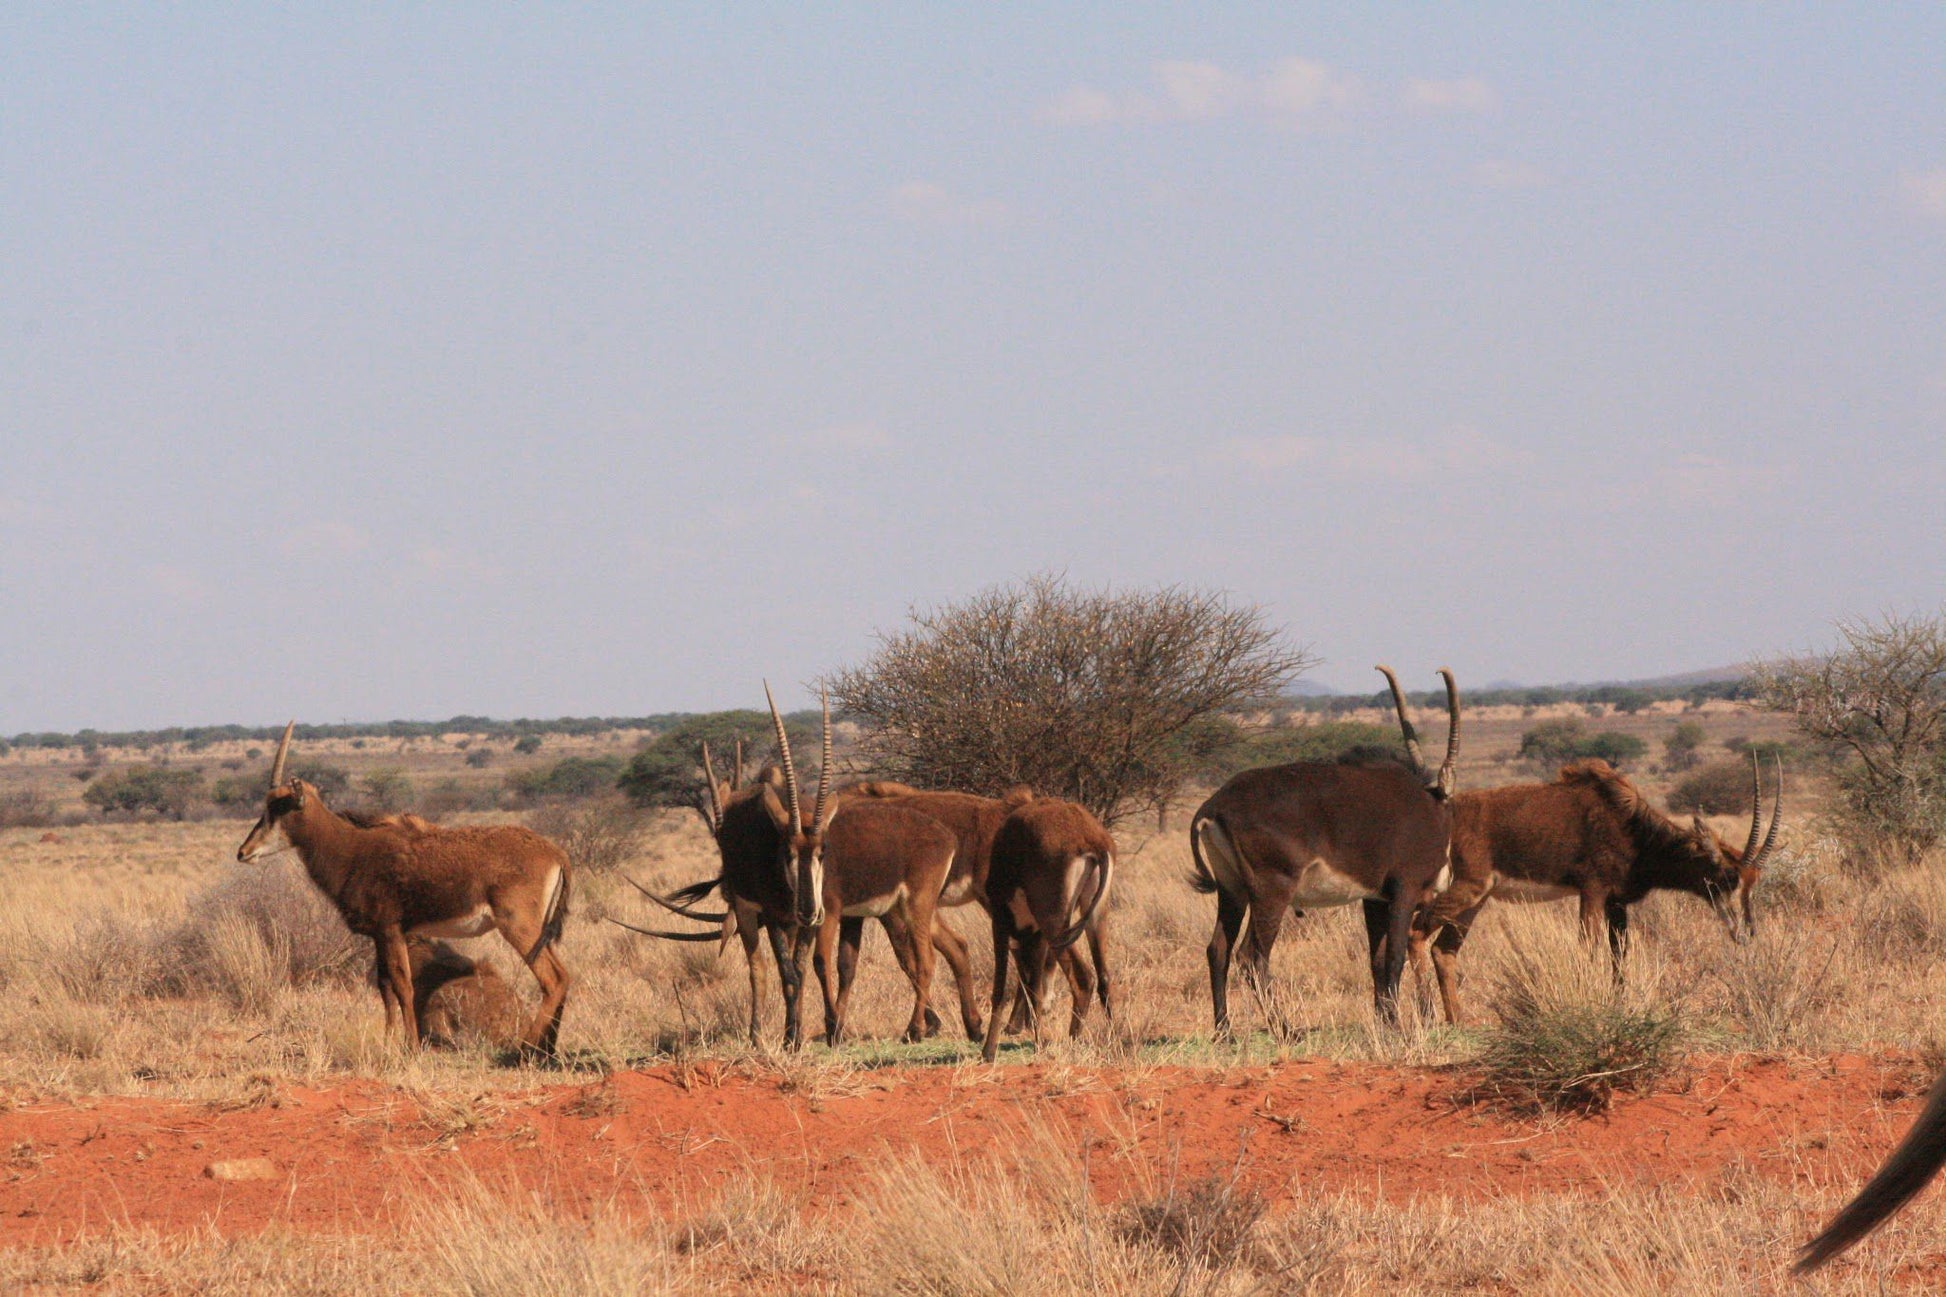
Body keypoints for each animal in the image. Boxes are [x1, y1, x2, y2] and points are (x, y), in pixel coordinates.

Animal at [232, 720, 572, 1059]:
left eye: (278, 810)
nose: (243, 852)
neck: (351, 849)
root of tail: (555, 852)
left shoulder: (390, 930)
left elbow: (402, 985)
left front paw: (410, 1047)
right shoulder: (379, 935)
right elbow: (384, 986)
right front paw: (388, 1041)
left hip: (518, 926)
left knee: (553, 979)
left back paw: (527, 1049)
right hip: (537, 931)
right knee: (563, 975)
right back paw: (547, 1049)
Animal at [980, 798, 1120, 1059]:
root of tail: (1091, 837)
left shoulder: (1001, 924)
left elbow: (1000, 988)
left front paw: (988, 1051)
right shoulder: (1036, 936)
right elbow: (1034, 987)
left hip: (1055, 926)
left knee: (1083, 977)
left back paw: (1071, 1040)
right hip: (1094, 916)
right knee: (1104, 976)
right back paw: (1114, 1039)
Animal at [1183, 662, 1463, 1028]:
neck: (1429, 805)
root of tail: (1216, 804)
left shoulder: (1374, 899)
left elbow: (1376, 959)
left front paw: (1384, 1022)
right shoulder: (1405, 890)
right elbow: (1394, 957)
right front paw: (1397, 1026)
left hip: (1232, 890)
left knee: (1218, 950)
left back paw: (1224, 1030)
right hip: (1272, 891)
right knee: (1251, 956)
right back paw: (1285, 1029)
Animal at [1408, 747, 1782, 1020]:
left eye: (1753, 883)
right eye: (1727, 878)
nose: (1745, 933)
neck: (1633, 829)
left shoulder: (1617, 901)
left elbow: (1619, 954)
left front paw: (1618, 1006)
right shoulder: (1592, 892)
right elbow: (1588, 948)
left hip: (1477, 899)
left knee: (1443, 950)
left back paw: (1457, 1022)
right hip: (1465, 889)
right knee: (1416, 932)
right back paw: (1429, 1019)